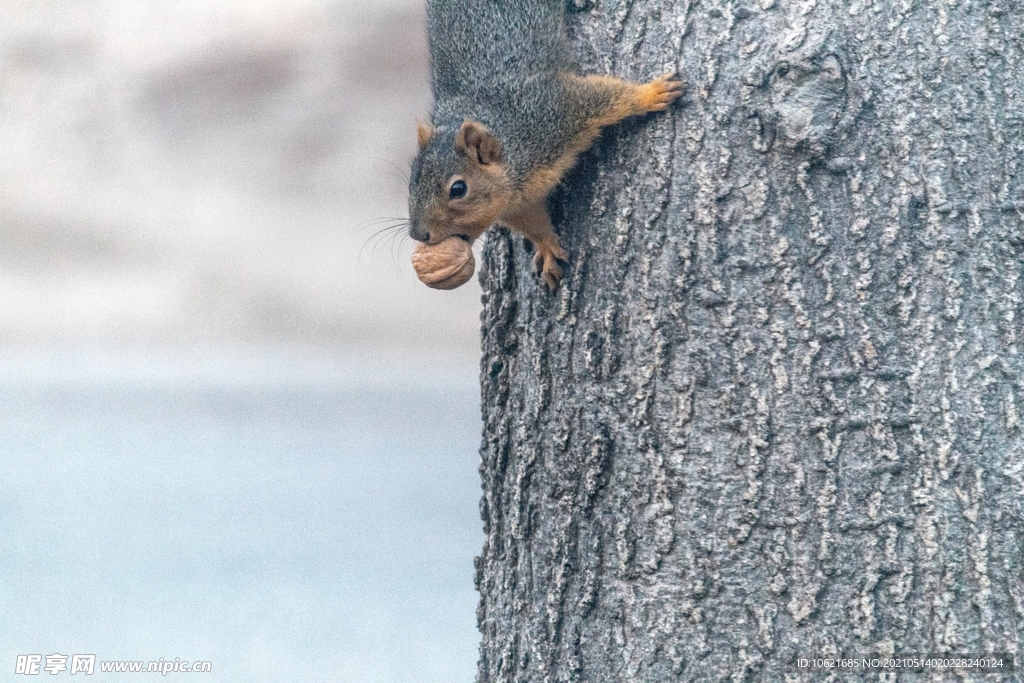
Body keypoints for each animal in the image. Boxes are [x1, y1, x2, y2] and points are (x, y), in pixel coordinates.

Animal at [405, 0, 679, 290]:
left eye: (458, 189)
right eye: (412, 181)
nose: (419, 234)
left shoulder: (554, 108)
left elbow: (601, 94)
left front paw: (650, 93)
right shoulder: (519, 204)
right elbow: (534, 223)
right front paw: (547, 247)